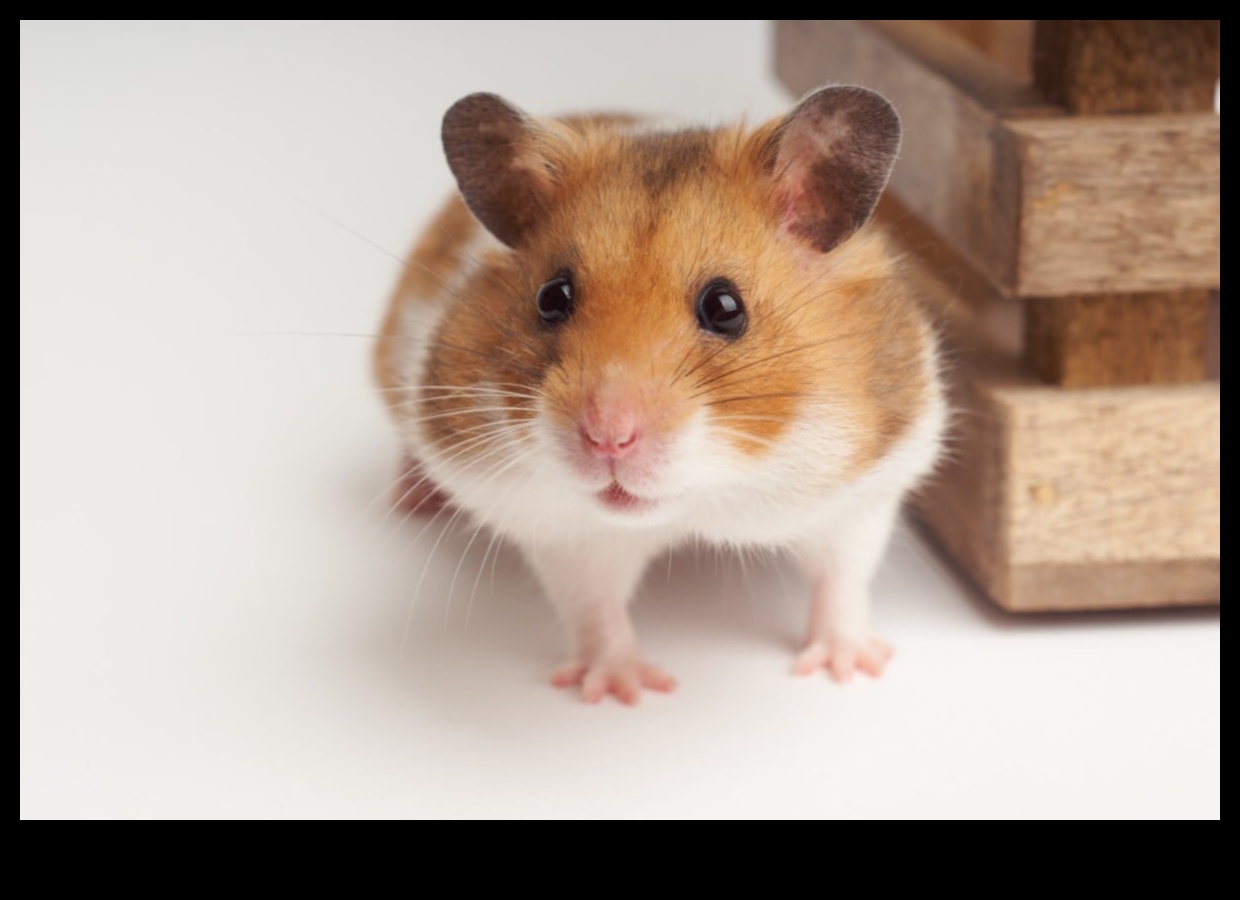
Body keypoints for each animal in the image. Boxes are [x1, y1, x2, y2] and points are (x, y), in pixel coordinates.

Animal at [373, 87, 947, 704]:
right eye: (552, 297)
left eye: (725, 307)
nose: (607, 438)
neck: (701, 500)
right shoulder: (565, 530)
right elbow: (594, 606)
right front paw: (623, 690)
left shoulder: (864, 491)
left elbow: (842, 578)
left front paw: (850, 668)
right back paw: (412, 499)